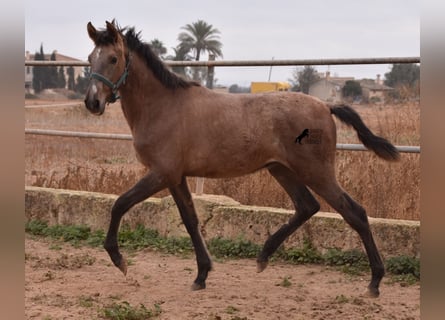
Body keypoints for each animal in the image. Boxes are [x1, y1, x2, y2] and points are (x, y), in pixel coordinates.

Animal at [84, 21, 398, 298]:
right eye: (89, 58)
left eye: (113, 58)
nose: (92, 103)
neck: (163, 107)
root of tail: (326, 105)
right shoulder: (176, 177)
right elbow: (190, 219)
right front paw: (202, 275)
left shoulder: (161, 173)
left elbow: (120, 203)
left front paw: (120, 261)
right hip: (281, 169)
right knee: (307, 206)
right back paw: (263, 257)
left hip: (316, 171)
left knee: (354, 212)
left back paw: (374, 282)